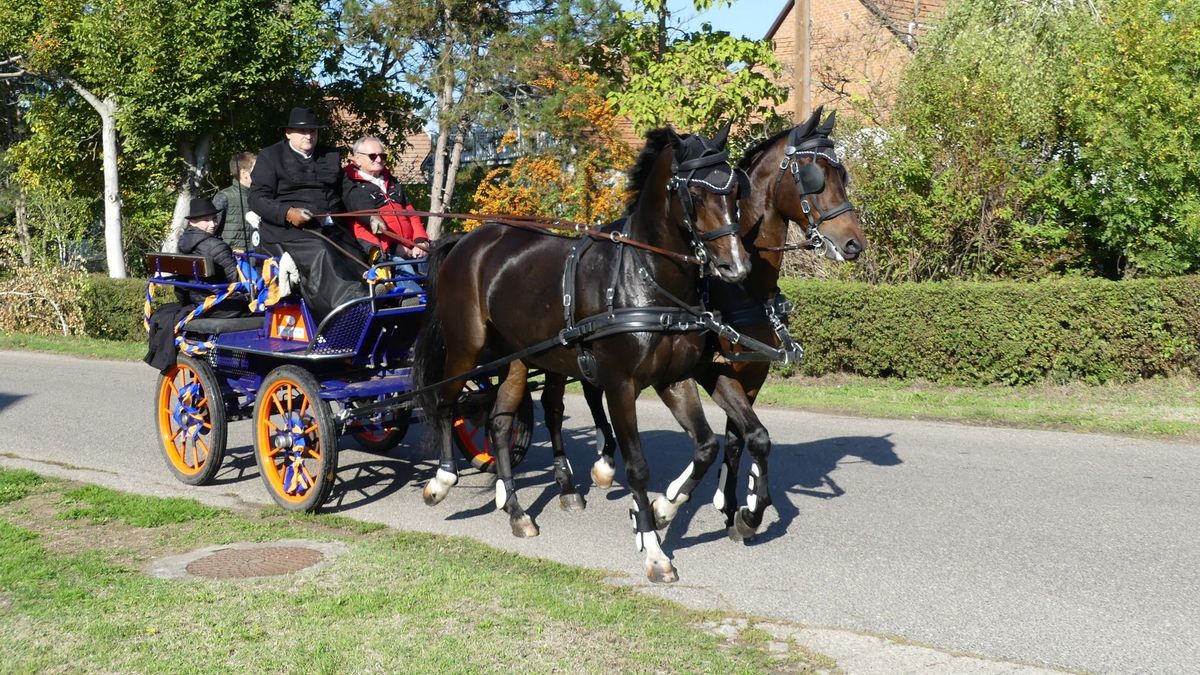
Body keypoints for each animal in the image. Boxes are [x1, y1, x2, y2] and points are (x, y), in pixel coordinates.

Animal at [412, 127, 748, 583]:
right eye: (694, 192)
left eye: (735, 189)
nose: (736, 267)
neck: (644, 277)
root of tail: (467, 239)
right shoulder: (620, 386)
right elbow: (637, 466)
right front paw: (653, 549)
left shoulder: (674, 379)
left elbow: (707, 447)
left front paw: (663, 508)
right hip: (466, 347)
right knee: (446, 403)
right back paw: (442, 479)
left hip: (517, 359)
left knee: (499, 424)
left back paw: (516, 511)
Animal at [580, 106, 864, 535]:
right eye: (814, 175)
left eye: (842, 174)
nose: (853, 243)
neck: (744, 289)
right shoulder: (709, 369)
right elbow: (737, 437)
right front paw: (675, 503)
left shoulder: (751, 372)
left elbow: (746, 437)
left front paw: (739, 509)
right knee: (584, 389)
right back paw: (602, 464)